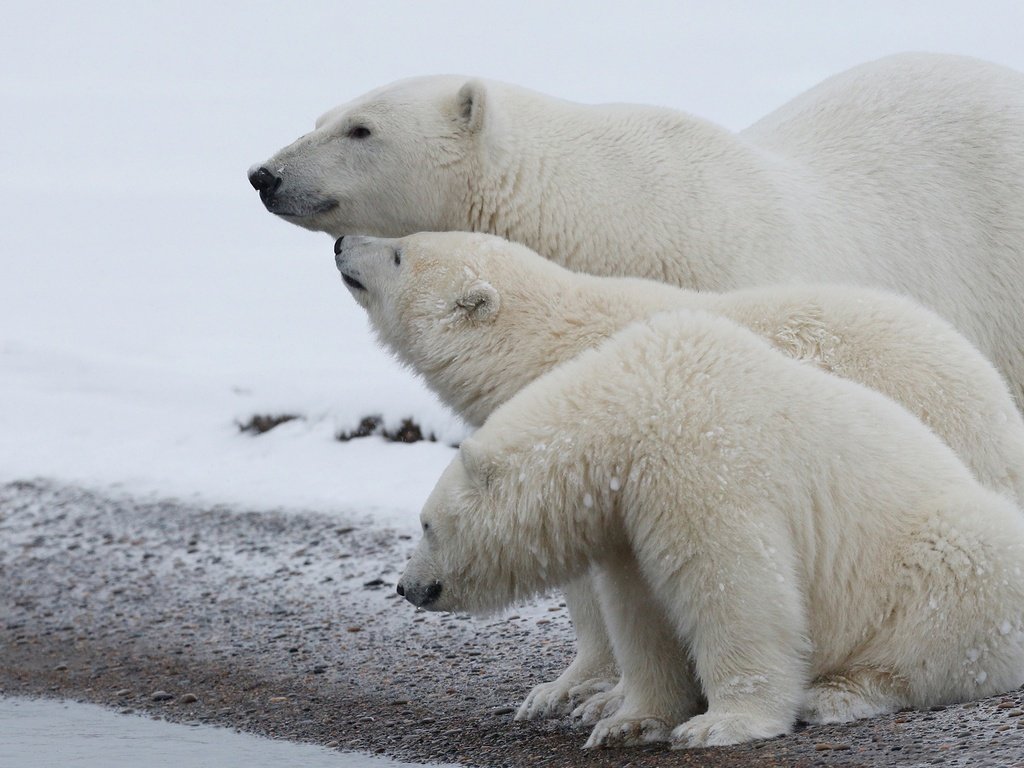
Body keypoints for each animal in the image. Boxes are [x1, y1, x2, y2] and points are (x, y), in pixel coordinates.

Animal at [337, 231, 1024, 729]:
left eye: (399, 251)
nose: (343, 243)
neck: (544, 345)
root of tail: (993, 398)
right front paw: (558, 692)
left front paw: (595, 696)